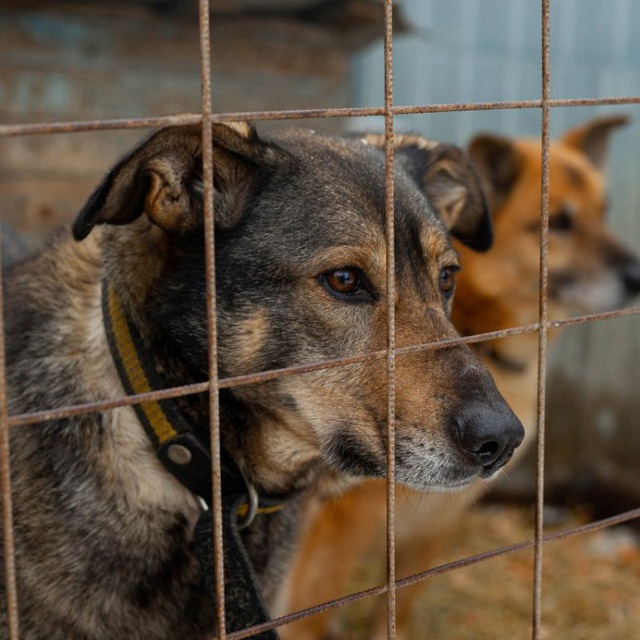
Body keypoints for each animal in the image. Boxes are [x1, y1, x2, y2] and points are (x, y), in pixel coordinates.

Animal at [282, 116, 640, 640]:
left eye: (604, 211)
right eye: (559, 223)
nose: (637, 276)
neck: (480, 328)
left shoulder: (431, 531)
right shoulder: (327, 542)